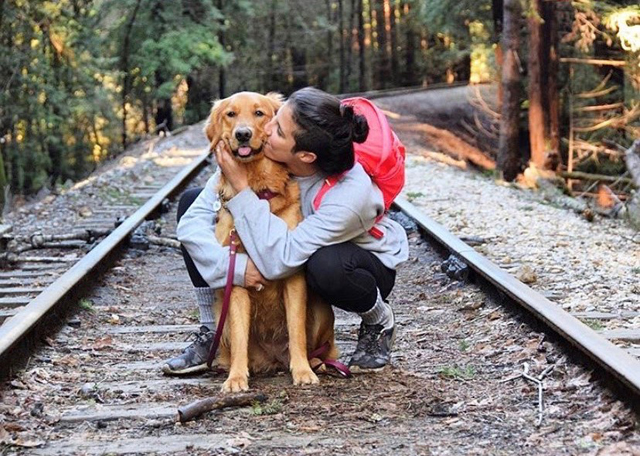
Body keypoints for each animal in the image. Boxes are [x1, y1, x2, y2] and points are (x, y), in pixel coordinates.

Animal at [205, 92, 340, 392]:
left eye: (259, 113)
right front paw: (236, 377)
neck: (257, 192)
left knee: (324, 347)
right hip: (221, 315)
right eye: (230, 114)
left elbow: (296, 329)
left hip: (322, 310)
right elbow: (240, 337)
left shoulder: (293, 276)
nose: (242, 135)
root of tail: (274, 359)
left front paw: (302, 371)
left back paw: (318, 363)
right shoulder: (238, 276)